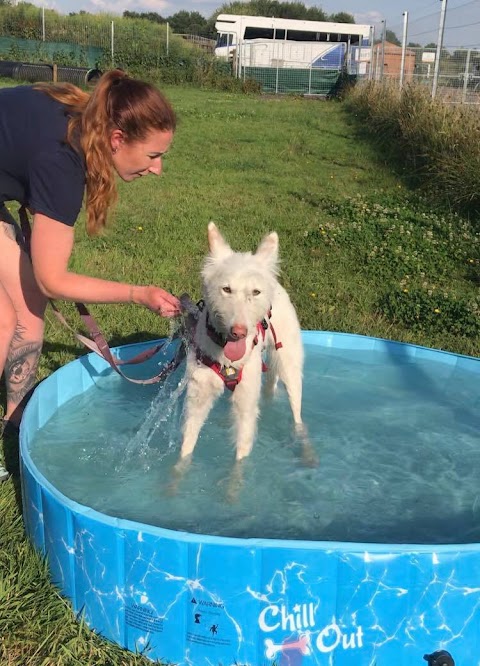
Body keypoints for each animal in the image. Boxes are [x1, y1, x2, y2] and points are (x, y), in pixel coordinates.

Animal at [175, 222, 308, 466]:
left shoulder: (246, 407)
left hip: (289, 368)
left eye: (255, 292)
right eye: (226, 289)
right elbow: (186, 448)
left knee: (297, 415)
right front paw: (176, 474)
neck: (226, 359)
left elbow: (240, 460)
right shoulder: (197, 399)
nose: (239, 332)